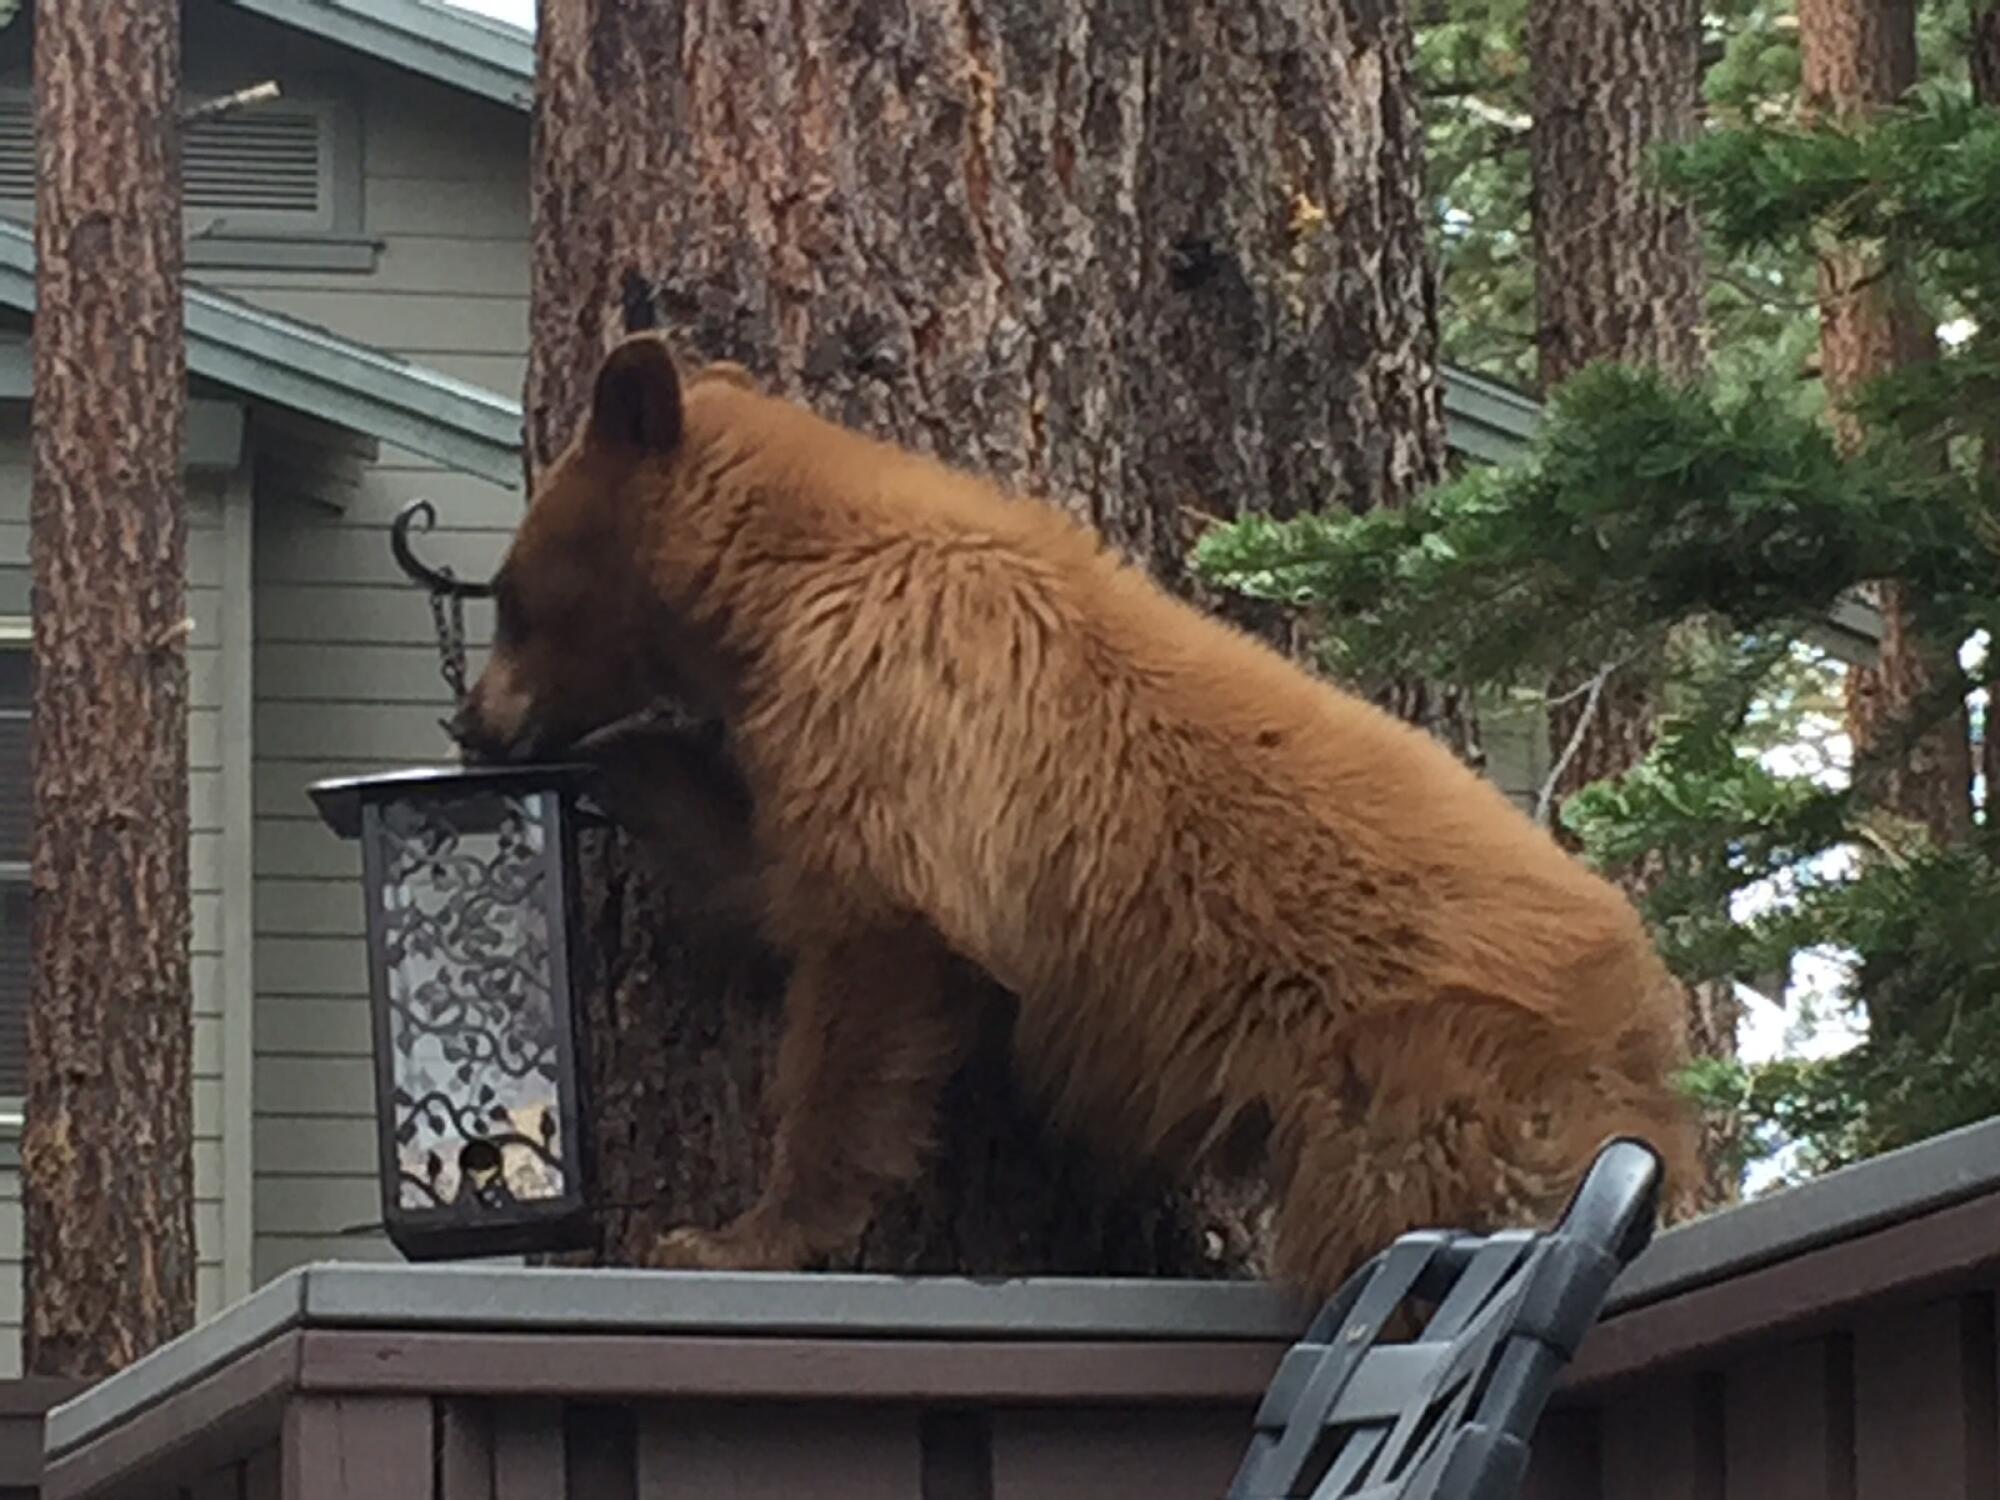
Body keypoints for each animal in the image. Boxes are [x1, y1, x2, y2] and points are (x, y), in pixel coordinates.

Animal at [458, 334, 1704, 1296]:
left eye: (507, 595)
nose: (472, 723)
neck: (795, 576)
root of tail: (1654, 1034)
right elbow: (774, 872)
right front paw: (633, 762)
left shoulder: (909, 704)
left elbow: (869, 952)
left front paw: (738, 1236)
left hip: (1428, 1089)